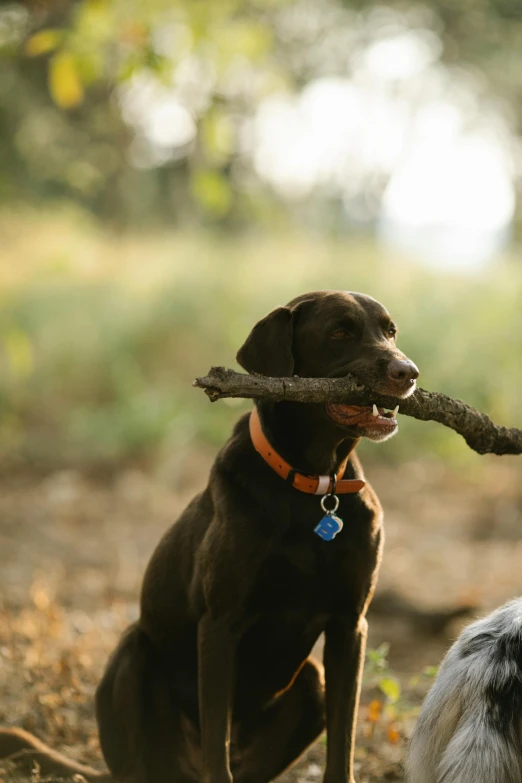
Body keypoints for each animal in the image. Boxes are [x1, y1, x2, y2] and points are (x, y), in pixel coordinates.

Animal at [0, 292, 414, 783]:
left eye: (390, 331)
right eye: (339, 331)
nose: (408, 372)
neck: (314, 485)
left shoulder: (350, 625)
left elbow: (343, 739)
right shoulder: (220, 623)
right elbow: (219, 736)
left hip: (311, 681)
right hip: (134, 653)